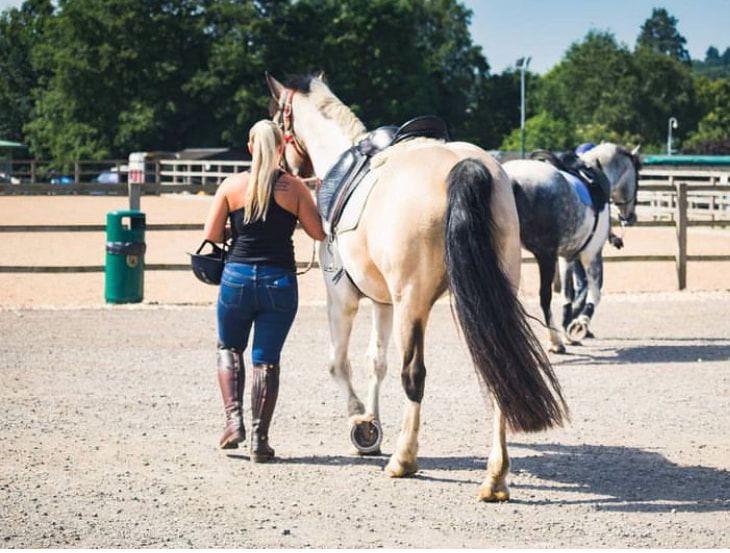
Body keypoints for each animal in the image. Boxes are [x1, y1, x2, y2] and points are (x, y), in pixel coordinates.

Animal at [265, 72, 568, 501]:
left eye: (277, 118)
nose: (282, 170)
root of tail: (465, 167)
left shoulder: (343, 297)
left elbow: (339, 363)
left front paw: (361, 424)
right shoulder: (383, 303)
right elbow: (376, 362)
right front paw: (372, 424)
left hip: (413, 302)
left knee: (414, 375)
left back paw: (404, 460)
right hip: (488, 298)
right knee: (499, 370)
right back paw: (495, 477)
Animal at [503, 143, 640, 353]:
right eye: (638, 177)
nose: (631, 217)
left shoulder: (566, 257)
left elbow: (568, 296)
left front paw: (568, 326)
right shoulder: (591, 255)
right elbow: (595, 294)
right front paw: (579, 324)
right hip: (544, 256)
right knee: (544, 297)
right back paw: (555, 341)